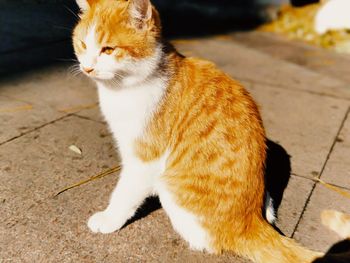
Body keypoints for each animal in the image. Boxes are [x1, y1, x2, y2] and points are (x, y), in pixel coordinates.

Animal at [73, 0, 322, 263]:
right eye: (83, 44)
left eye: (108, 49)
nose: (87, 68)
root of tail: (250, 220)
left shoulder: (144, 159)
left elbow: (125, 193)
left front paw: (109, 219)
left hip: (168, 185)